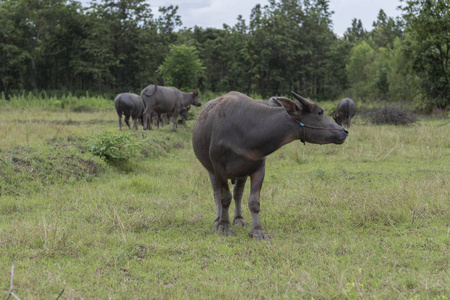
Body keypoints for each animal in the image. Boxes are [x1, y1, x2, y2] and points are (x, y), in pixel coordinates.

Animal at [192, 90, 348, 240]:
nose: (345, 131)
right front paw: (223, 226)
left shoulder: (259, 168)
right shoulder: (219, 168)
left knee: (238, 193)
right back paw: (216, 221)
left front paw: (257, 231)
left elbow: (254, 202)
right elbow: (224, 198)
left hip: (242, 172)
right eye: (320, 112)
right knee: (217, 194)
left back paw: (239, 219)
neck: (246, 129)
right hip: (211, 170)